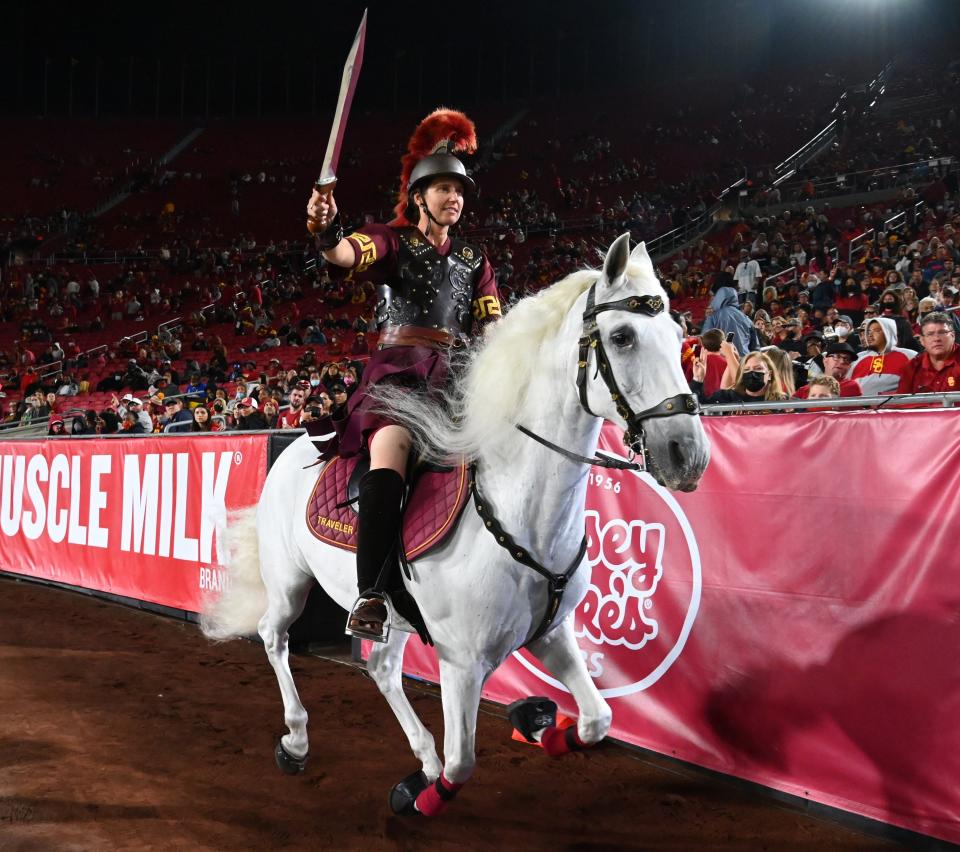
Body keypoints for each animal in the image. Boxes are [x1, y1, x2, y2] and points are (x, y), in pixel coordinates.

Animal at [202, 235, 708, 820]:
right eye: (622, 336)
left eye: (679, 338)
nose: (688, 455)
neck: (520, 512)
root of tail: (302, 440)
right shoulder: (462, 662)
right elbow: (463, 761)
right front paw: (415, 798)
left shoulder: (552, 634)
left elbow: (596, 720)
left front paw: (534, 721)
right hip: (290, 582)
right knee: (274, 636)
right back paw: (298, 741)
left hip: (393, 610)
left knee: (381, 667)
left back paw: (420, 754)